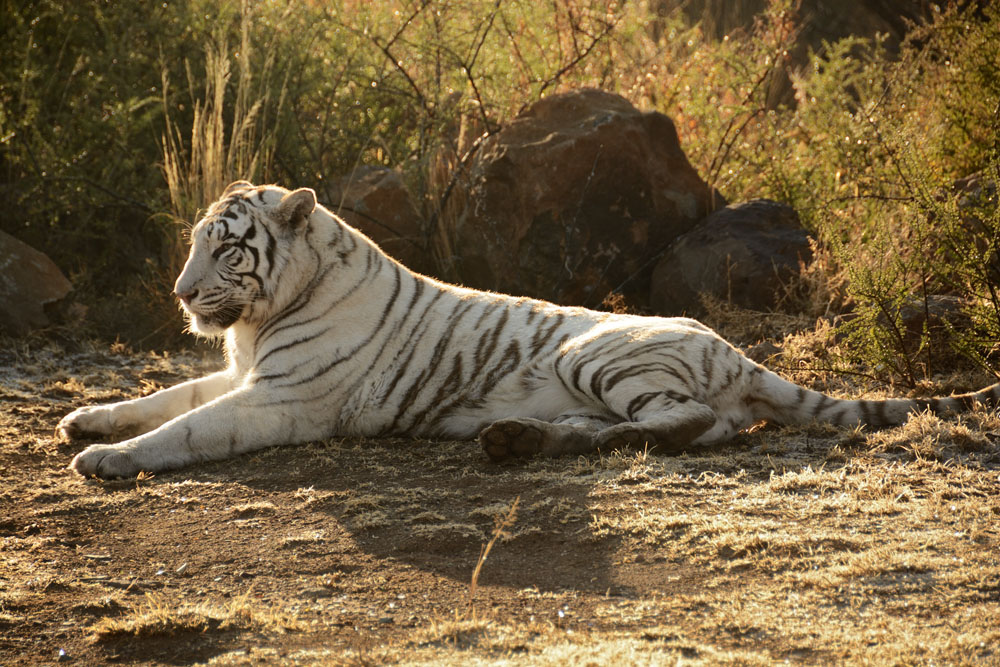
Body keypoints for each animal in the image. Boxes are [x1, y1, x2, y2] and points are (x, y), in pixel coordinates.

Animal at [62, 181, 1000, 479]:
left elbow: (187, 426)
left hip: (597, 352)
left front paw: (108, 459)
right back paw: (519, 438)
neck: (261, 320)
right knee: (673, 426)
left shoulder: (281, 398)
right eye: (195, 243)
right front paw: (86, 419)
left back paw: (557, 442)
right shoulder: (241, 372)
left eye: (227, 248)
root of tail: (736, 349)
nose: (182, 294)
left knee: (689, 423)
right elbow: (169, 392)